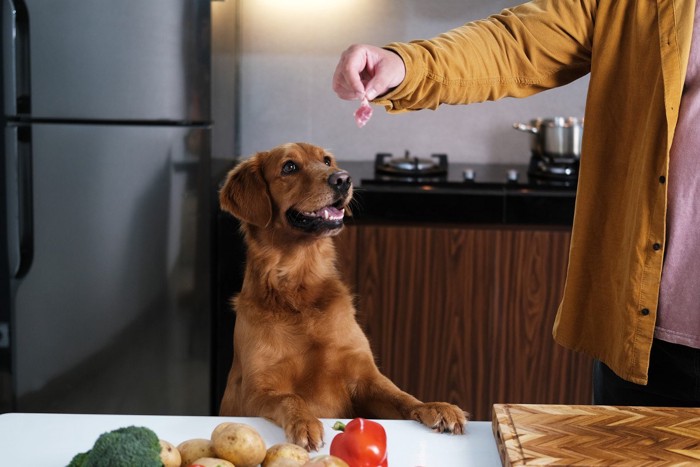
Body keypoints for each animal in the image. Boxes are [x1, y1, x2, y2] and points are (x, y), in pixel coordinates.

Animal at [219, 142, 468, 450]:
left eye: (326, 161)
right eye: (289, 167)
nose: (343, 179)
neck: (299, 290)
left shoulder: (365, 378)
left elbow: (401, 395)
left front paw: (434, 407)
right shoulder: (256, 390)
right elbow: (290, 397)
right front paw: (305, 422)